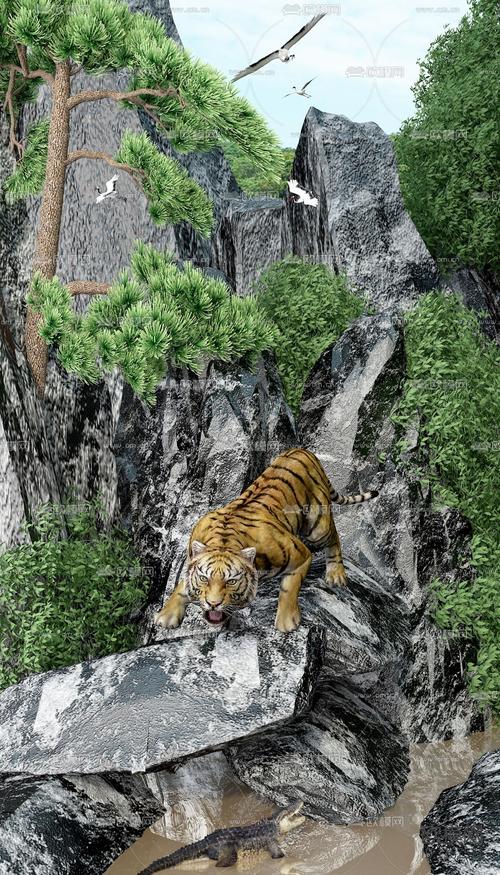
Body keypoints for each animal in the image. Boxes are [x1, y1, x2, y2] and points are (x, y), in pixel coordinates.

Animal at [154, 448, 379, 634]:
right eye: (204, 578)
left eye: (231, 581)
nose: (213, 604)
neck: (224, 542)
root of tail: (303, 450)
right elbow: (181, 586)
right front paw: (166, 616)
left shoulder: (300, 554)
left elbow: (289, 587)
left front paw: (287, 623)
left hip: (317, 526)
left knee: (334, 535)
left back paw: (336, 575)